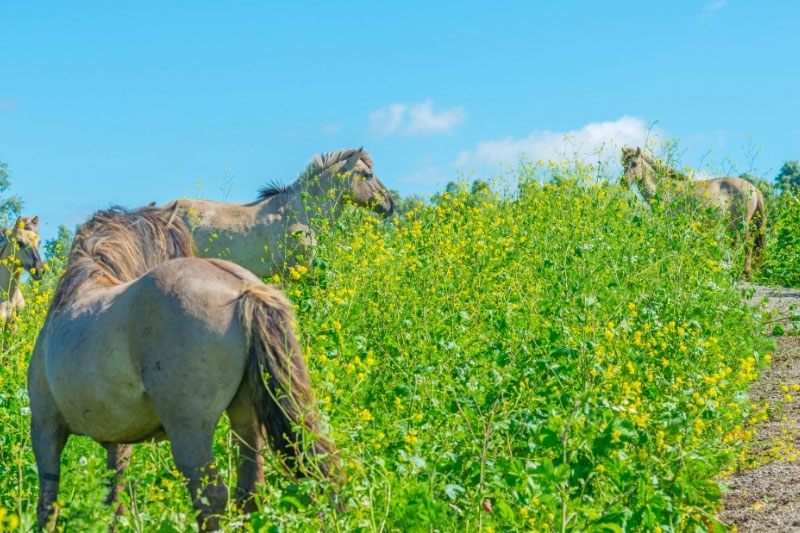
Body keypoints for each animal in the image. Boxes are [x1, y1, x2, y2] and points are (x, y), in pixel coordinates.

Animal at [29, 205, 336, 531]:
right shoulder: (118, 440)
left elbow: (49, 504)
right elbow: (114, 501)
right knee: (249, 492)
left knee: (211, 496)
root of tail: (243, 288)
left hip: (189, 429)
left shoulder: (45, 426)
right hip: (246, 419)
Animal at [621, 147, 766, 277]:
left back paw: (745, 272)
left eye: (634, 163)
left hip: (741, 224)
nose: (624, 183)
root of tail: (754, 188)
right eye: (623, 164)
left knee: (748, 245)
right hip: (732, 225)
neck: (664, 188)